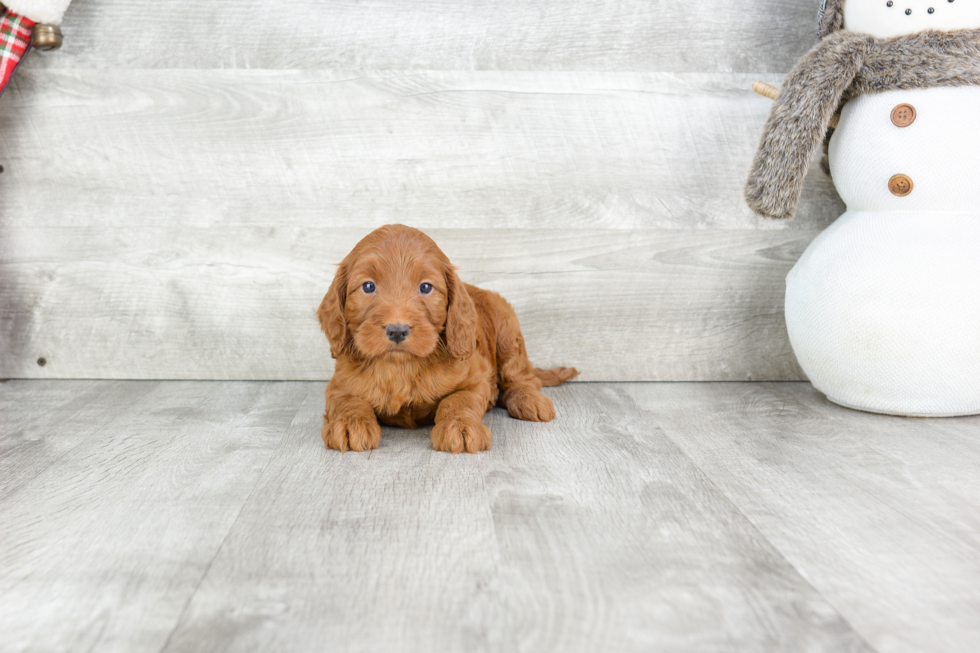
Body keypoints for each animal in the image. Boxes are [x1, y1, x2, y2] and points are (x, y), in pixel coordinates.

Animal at [318, 224, 580, 454]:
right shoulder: (339, 384)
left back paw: (529, 399)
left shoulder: (477, 379)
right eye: (368, 286)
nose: (397, 330)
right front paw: (350, 423)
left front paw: (460, 426)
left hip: (508, 331)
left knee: (520, 377)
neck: (401, 367)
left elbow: (458, 400)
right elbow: (349, 401)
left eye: (425, 287)